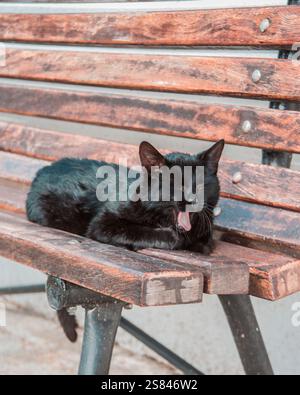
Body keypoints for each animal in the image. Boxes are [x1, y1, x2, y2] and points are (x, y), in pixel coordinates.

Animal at [26, 141, 223, 342]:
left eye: (200, 185)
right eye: (174, 186)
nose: (192, 200)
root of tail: (44, 169)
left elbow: (204, 242)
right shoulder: (102, 224)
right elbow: (140, 231)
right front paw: (174, 238)